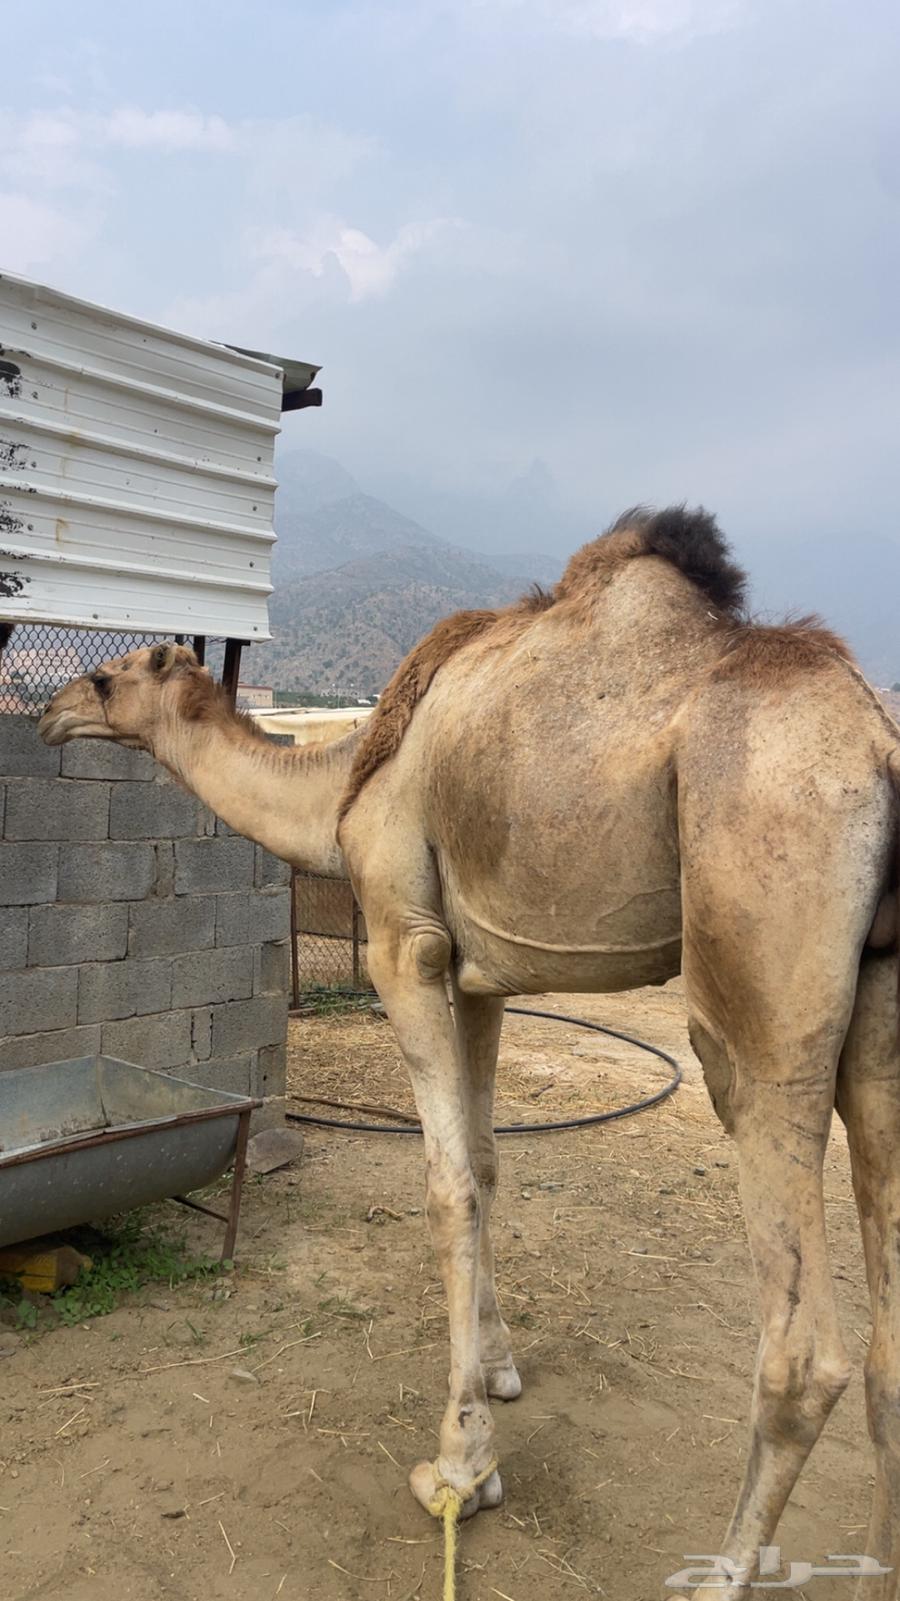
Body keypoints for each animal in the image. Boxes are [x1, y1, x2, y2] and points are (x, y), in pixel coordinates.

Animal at [39, 506, 900, 1599]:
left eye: (108, 676)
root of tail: (878, 746)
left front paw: (462, 1463)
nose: (48, 711)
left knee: (803, 1346)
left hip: (765, 956)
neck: (345, 778)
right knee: (885, 1354)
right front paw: (498, 1367)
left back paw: (720, 1570)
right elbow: (489, 1166)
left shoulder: (405, 937)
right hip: (883, 1007)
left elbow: (448, 1181)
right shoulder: (480, 970)